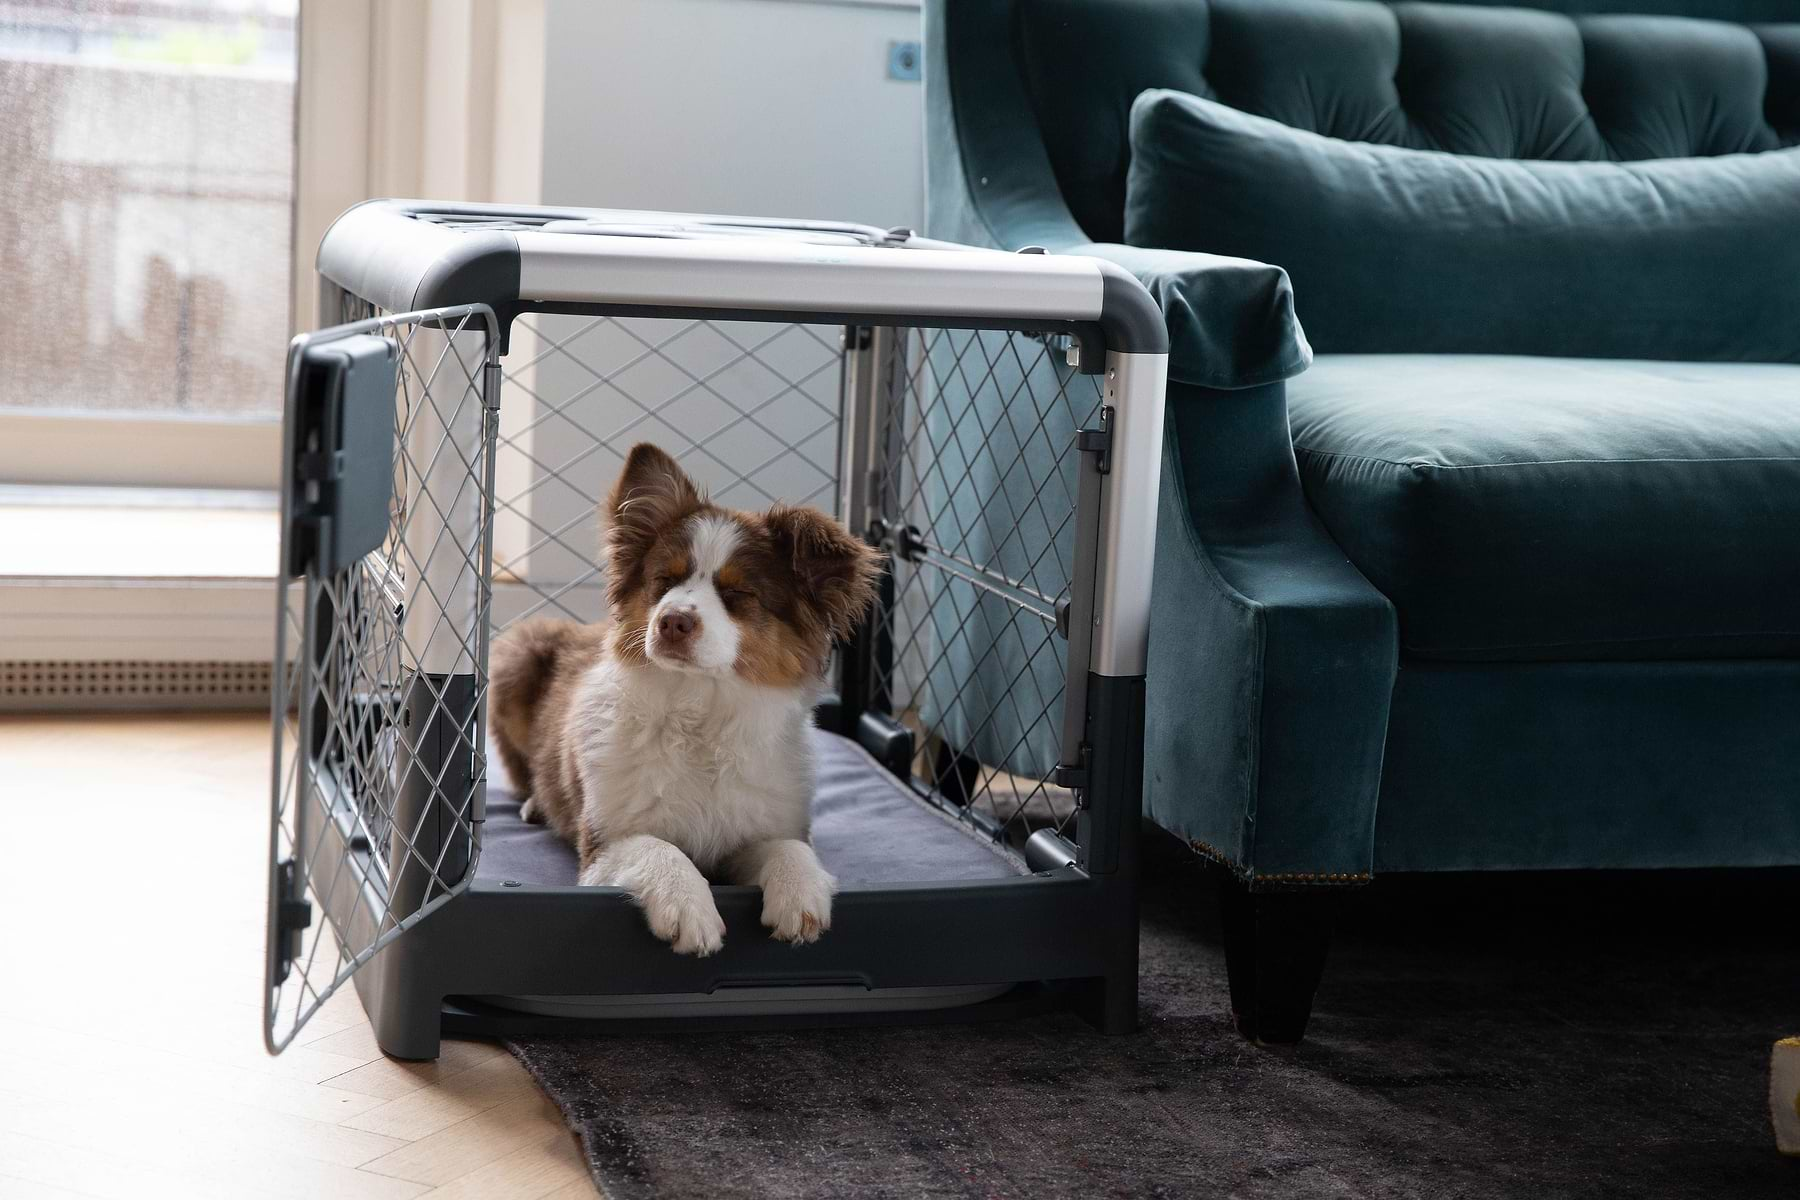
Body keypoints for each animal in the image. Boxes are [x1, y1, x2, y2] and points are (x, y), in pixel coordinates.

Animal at [489, 440, 882, 957]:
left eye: (737, 593)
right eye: (664, 582)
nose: (671, 621)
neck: (700, 711)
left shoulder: (757, 826)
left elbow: (790, 847)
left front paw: (800, 893)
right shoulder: (605, 842)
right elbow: (661, 848)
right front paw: (687, 908)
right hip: (515, 656)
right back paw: (537, 802)